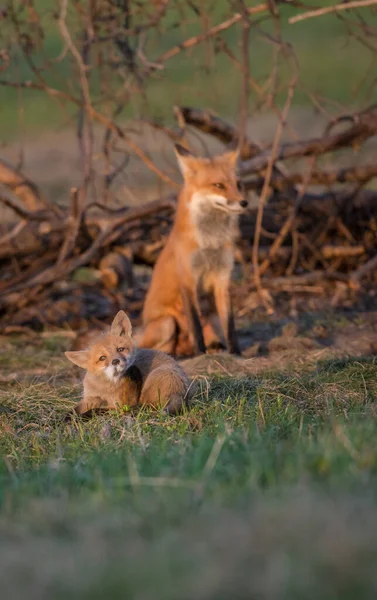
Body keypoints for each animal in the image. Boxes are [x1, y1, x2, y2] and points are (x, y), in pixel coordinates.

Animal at [138, 145, 247, 356]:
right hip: (167, 324)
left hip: (211, 317)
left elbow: (230, 326)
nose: (244, 202)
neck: (210, 243)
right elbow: (195, 325)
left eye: (238, 184)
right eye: (218, 185)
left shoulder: (223, 277)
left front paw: (236, 354)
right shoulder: (188, 279)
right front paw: (201, 354)